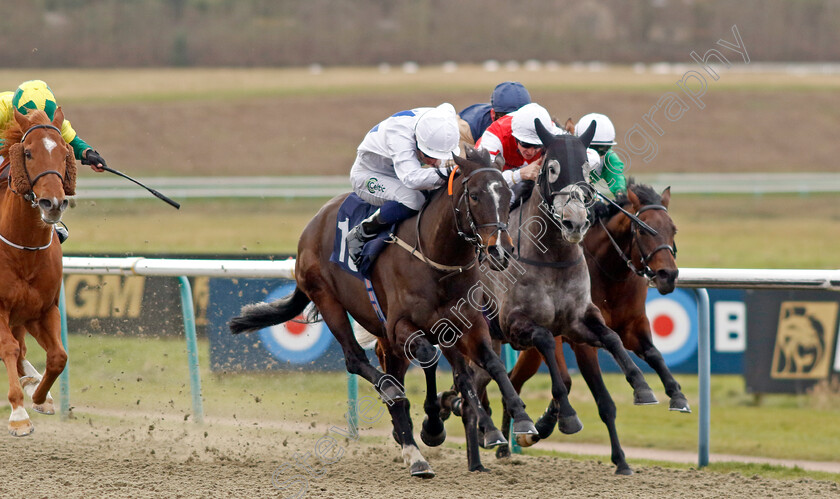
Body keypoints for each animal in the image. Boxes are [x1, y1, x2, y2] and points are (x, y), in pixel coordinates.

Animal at [226, 146, 536, 478]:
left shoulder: (465, 324)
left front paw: (513, 423)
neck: (436, 259)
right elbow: (432, 358)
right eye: (475, 196)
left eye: (507, 194)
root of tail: (313, 224)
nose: (500, 251)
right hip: (329, 300)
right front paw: (436, 425)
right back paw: (405, 428)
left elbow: (487, 365)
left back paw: (413, 440)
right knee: (357, 360)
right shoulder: (400, 325)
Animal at [498, 179, 684, 472]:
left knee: (515, 379)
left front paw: (676, 394)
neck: (611, 276)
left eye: (672, 229)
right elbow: (602, 401)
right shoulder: (578, 339)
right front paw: (620, 459)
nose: (668, 275)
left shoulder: (632, 327)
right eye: (643, 230)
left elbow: (654, 353)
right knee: (532, 378)